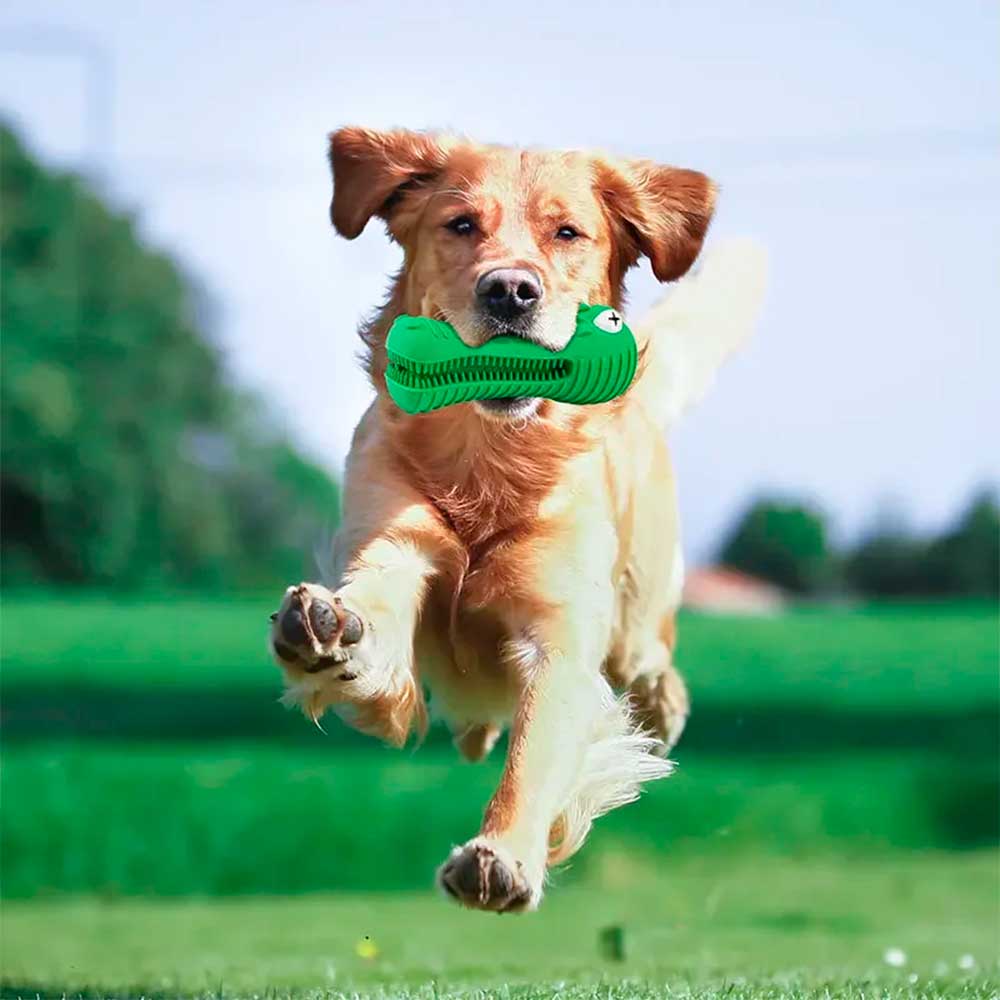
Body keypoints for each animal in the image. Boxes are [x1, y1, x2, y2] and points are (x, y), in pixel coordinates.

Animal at [270, 127, 760, 916]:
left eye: (568, 233)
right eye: (461, 224)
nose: (508, 290)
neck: (490, 458)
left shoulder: (560, 634)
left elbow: (536, 758)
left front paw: (502, 855)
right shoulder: (396, 542)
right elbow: (377, 605)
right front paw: (330, 630)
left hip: (637, 613)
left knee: (653, 660)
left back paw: (662, 710)